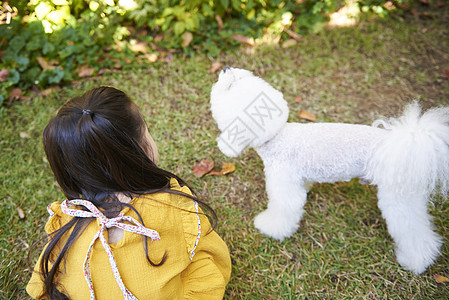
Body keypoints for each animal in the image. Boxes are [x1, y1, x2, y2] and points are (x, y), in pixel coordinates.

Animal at [210, 67, 448, 274]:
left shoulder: (284, 186)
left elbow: (284, 209)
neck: (277, 136)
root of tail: (410, 143)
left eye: (230, 85)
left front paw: (270, 227)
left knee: (415, 234)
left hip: (399, 200)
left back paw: (416, 262)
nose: (226, 67)